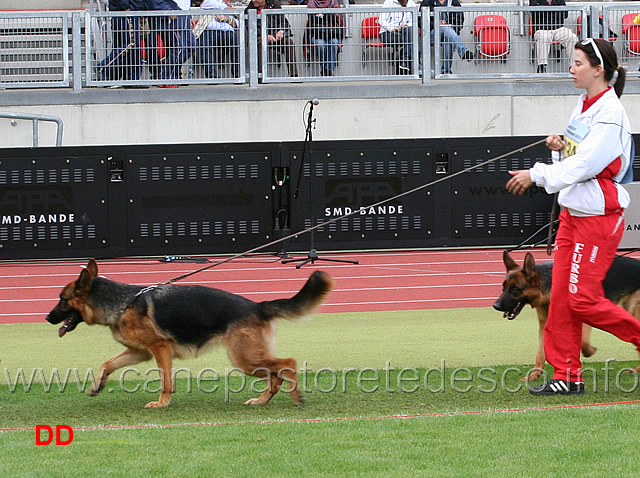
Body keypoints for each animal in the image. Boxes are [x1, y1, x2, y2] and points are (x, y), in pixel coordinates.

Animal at [45, 260, 336, 408]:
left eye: (62, 299)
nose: (47, 318)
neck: (122, 302)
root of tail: (257, 306)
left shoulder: (159, 348)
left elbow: (166, 380)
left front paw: (162, 403)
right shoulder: (138, 352)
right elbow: (107, 364)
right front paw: (97, 386)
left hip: (244, 358)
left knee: (288, 364)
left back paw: (296, 397)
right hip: (249, 358)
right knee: (274, 376)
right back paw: (262, 400)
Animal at [498, 250, 640, 380]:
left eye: (515, 288)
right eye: (504, 287)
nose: (496, 305)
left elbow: (582, 343)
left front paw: (588, 352)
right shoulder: (544, 323)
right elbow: (540, 351)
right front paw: (535, 374)